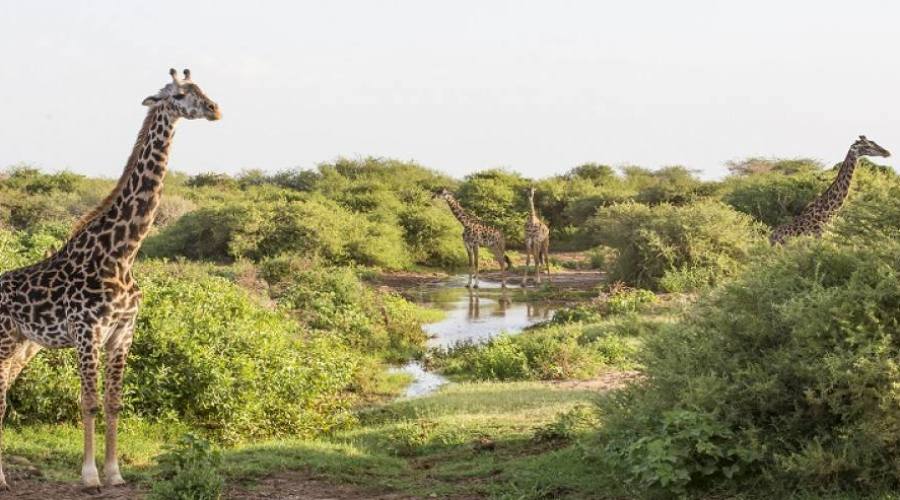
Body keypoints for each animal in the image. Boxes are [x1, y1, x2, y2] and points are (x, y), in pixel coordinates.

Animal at [0, 68, 220, 492]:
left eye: (202, 88)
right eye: (179, 94)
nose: (215, 109)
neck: (121, 255)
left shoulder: (123, 333)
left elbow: (114, 402)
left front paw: (115, 473)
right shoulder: (88, 334)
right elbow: (88, 403)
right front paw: (89, 477)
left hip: (24, 345)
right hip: (4, 340)